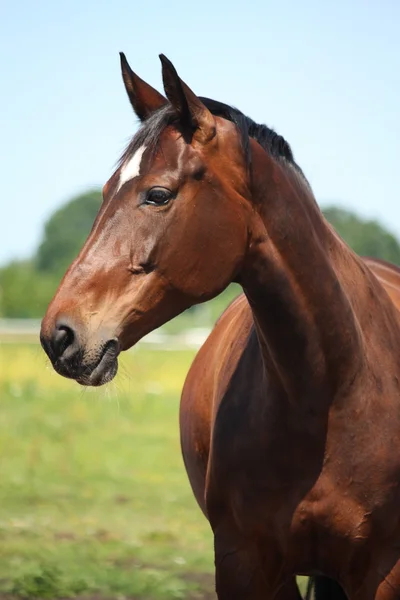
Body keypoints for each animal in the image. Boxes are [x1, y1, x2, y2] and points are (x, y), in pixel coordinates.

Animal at [40, 54, 400, 596]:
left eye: (158, 194)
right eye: (104, 192)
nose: (58, 335)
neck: (335, 391)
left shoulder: (384, 572)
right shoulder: (242, 564)